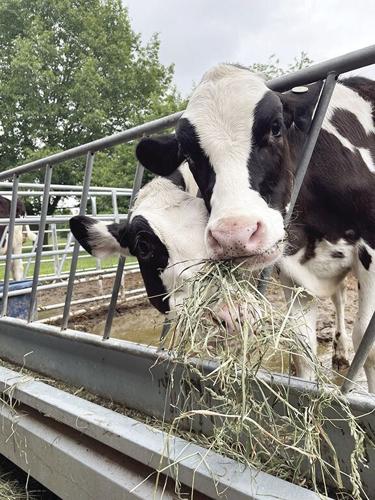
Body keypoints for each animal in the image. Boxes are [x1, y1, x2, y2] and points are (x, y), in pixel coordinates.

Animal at [136, 66, 375, 392]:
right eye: (189, 153)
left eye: (276, 127)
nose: (235, 235)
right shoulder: (293, 272)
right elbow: (302, 346)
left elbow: (367, 341)